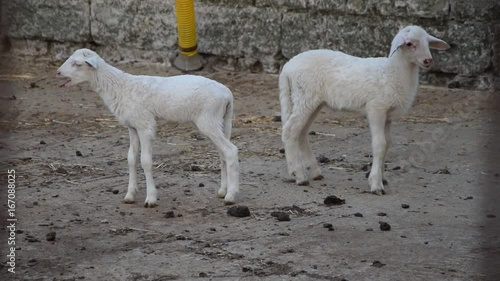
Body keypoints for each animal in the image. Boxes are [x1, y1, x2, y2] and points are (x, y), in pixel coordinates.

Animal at [56, 47, 240, 206]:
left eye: (77, 64)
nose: (57, 72)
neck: (120, 87)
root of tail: (227, 94)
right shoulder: (133, 126)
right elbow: (131, 158)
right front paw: (130, 195)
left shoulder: (145, 125)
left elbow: (145, 161)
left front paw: (151, 198)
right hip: (221, 121)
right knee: (223, 154)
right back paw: (222, 191)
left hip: (209, 120)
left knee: (231, 151)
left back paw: (231, 196)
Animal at [280, 25, 452, 194]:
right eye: (409, 44)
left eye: (428, 42)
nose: (428, 60)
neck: (392, 72)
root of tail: (287, 67)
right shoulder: (376, 109)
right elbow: (379, 144)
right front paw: (376, 184)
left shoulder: (388, 115)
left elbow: (388, 143)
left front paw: (382, 178)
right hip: (304, 97)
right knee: (290, 130)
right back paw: (299, 175)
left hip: (313, 102)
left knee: (301, 132)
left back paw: (314, 172)